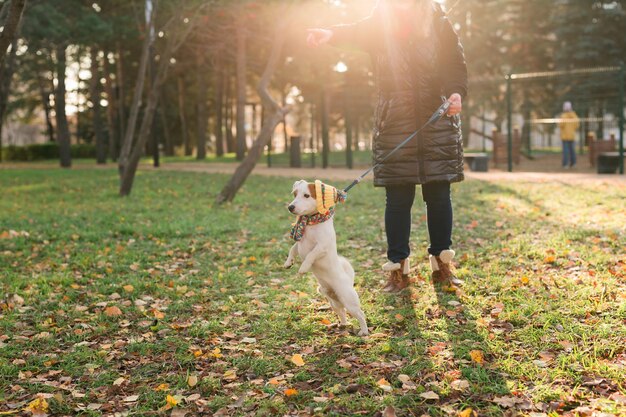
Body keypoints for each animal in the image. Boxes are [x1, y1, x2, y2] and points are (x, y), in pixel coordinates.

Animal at [282, 179, 366, 334]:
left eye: (306, 195)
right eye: (295, 194)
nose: (290, 207)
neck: (311, 222)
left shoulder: (321, 247)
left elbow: (310, 255)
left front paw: (303, 267)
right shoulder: (299, 244)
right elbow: (292, 249)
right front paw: (288, 262)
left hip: (349, 301)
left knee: (360, 314)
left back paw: (364, 331)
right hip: (334, 304)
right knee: (342, 312)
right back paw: (342, 324)